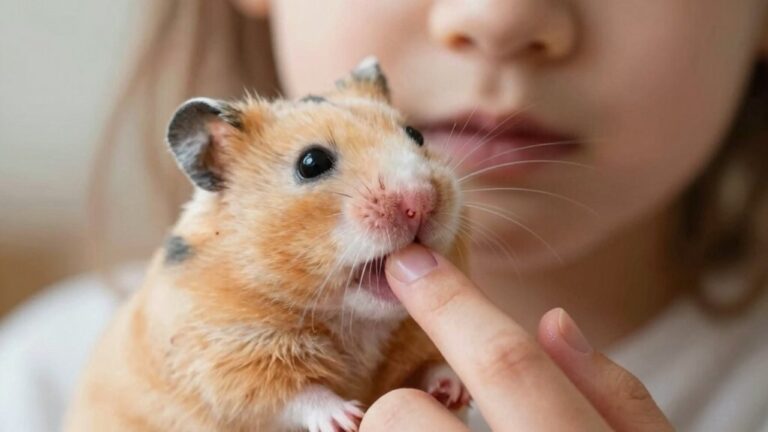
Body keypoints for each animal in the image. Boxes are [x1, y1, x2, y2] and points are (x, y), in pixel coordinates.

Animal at [65, 58, 470, 432]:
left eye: (416, 135)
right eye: (312, 162)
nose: (420, 201)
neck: (355, 324)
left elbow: (424, 369)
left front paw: (453, 390)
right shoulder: (228, 355)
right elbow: (293, 394)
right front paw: (347, 417)